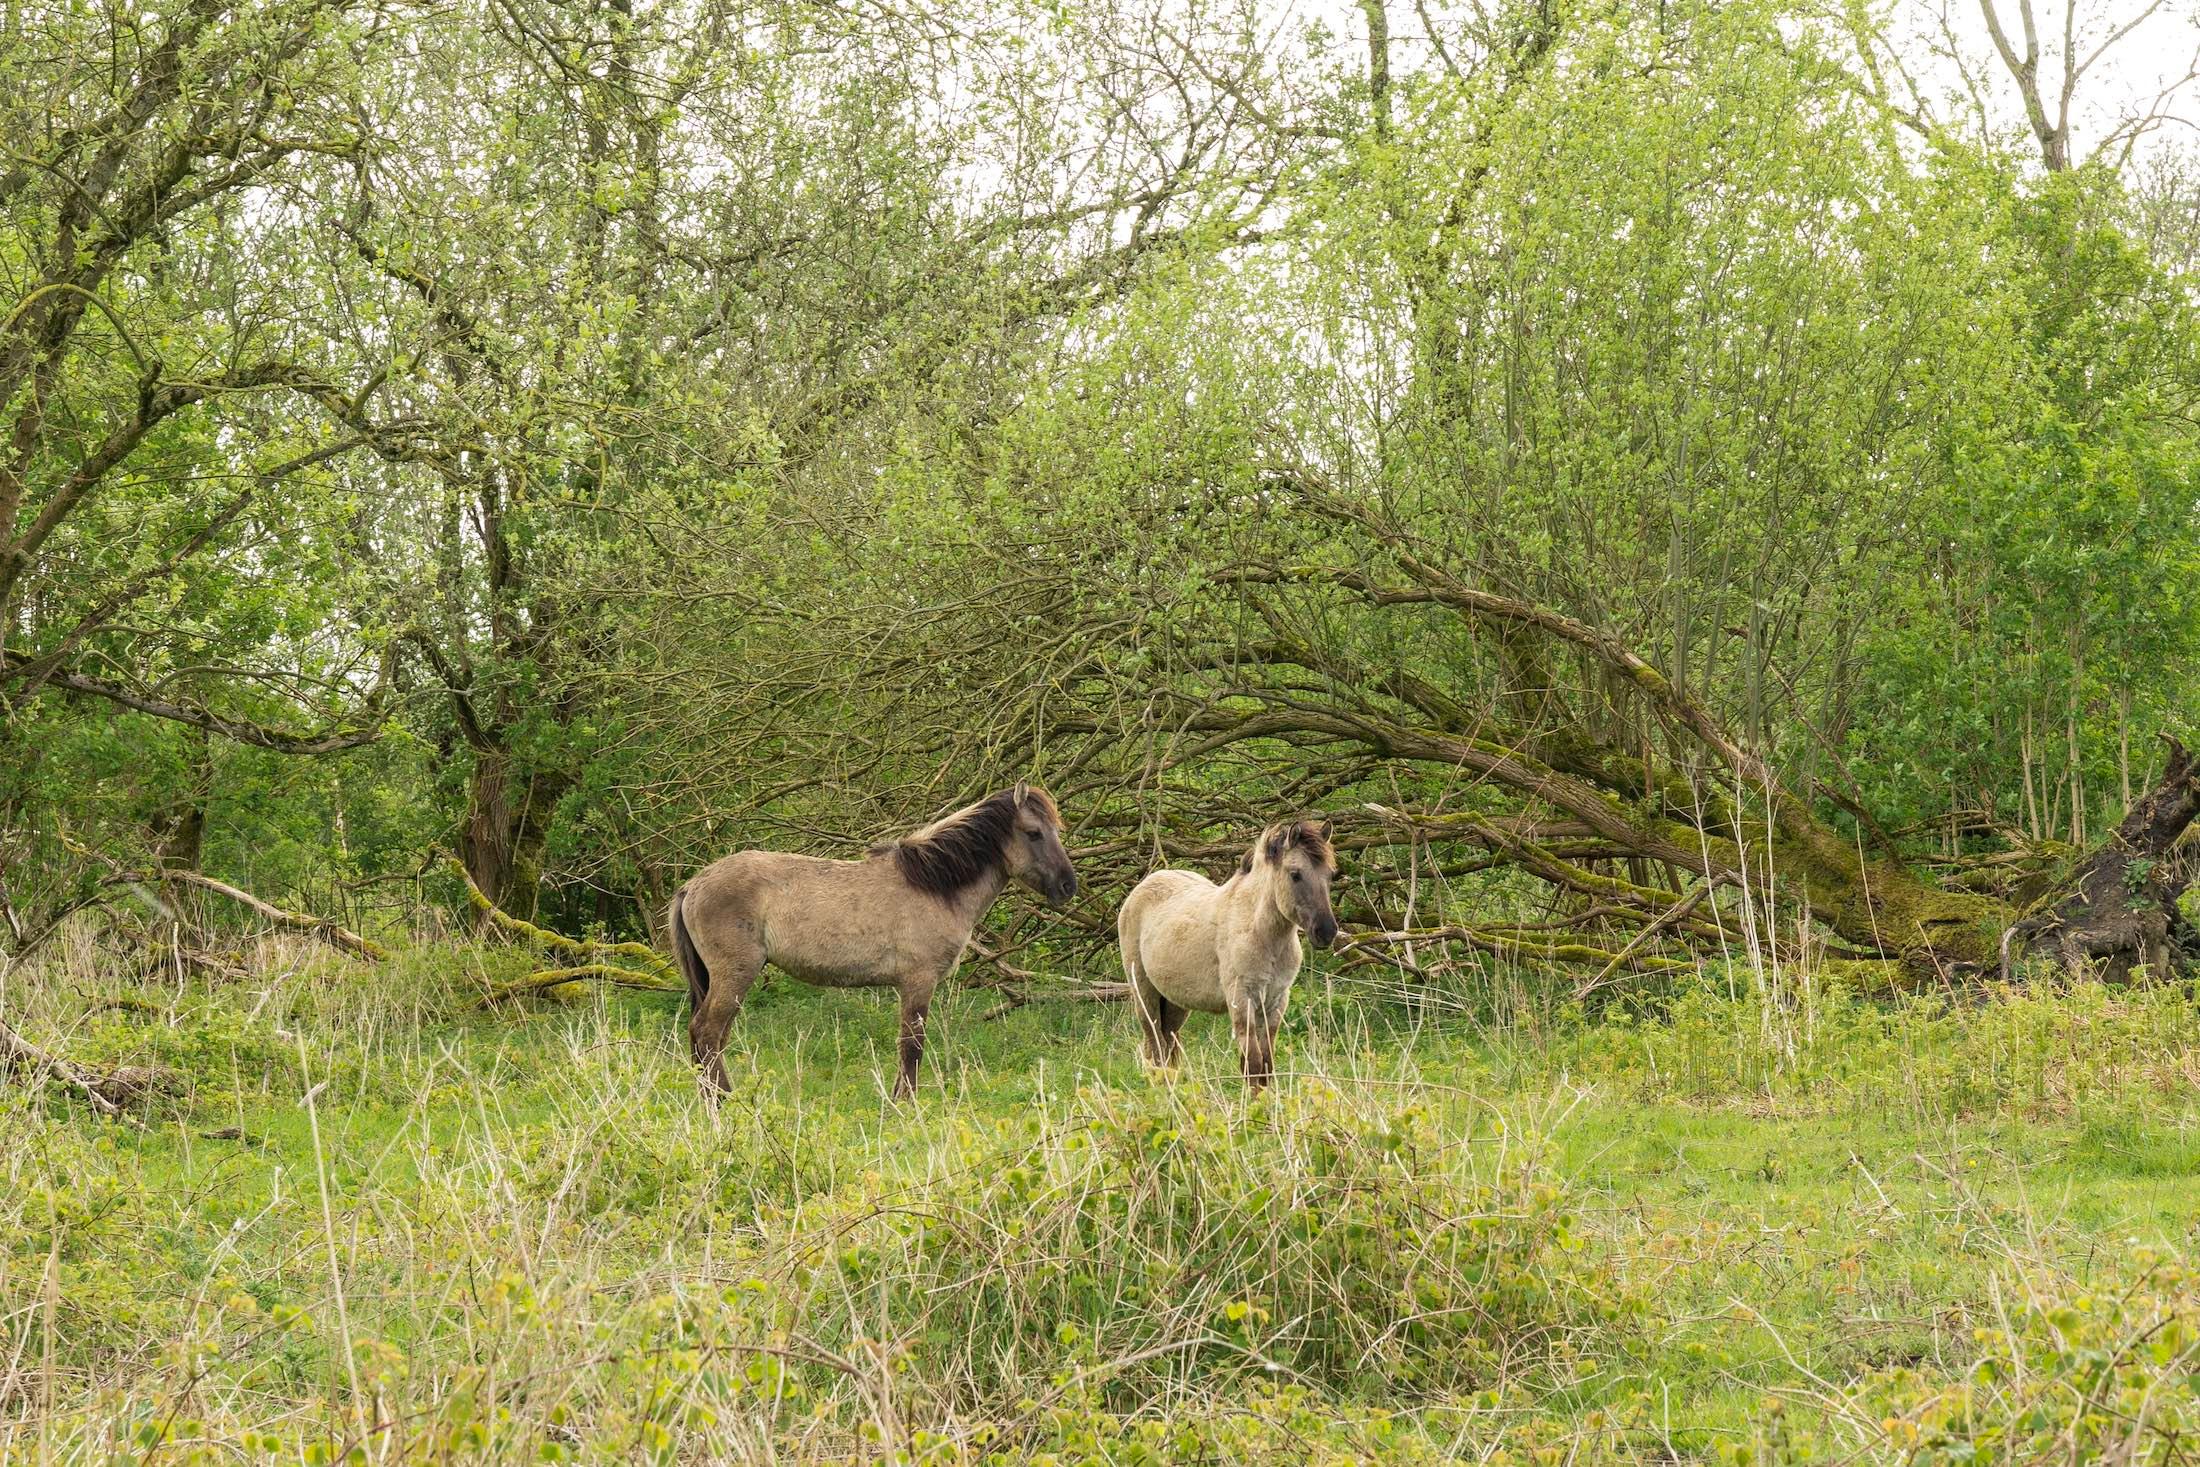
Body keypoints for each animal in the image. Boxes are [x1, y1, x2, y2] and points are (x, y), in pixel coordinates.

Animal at [668, 787, 1082, 1095]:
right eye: (1034, 832)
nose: (1067, 886)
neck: (933, 886)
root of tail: (694, 885)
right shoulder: (918, 982)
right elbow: (912, 1045)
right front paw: (905, 1104)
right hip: (735, 976)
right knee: (707, 1033)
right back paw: (723, 1101)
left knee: (711, 1038)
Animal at [1117, 826, 1337, 1090]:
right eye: (1295, 874)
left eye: (1330, 874)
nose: (1326, 932)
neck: (1261, 933)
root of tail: (1143, 886)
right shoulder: (1242, 1000)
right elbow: (1253, 1064)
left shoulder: (1276, 1002)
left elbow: (1266, 1064)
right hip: (1144, 993)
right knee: (1155, 1044)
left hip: (1175, 1002)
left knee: (1166, 1043)